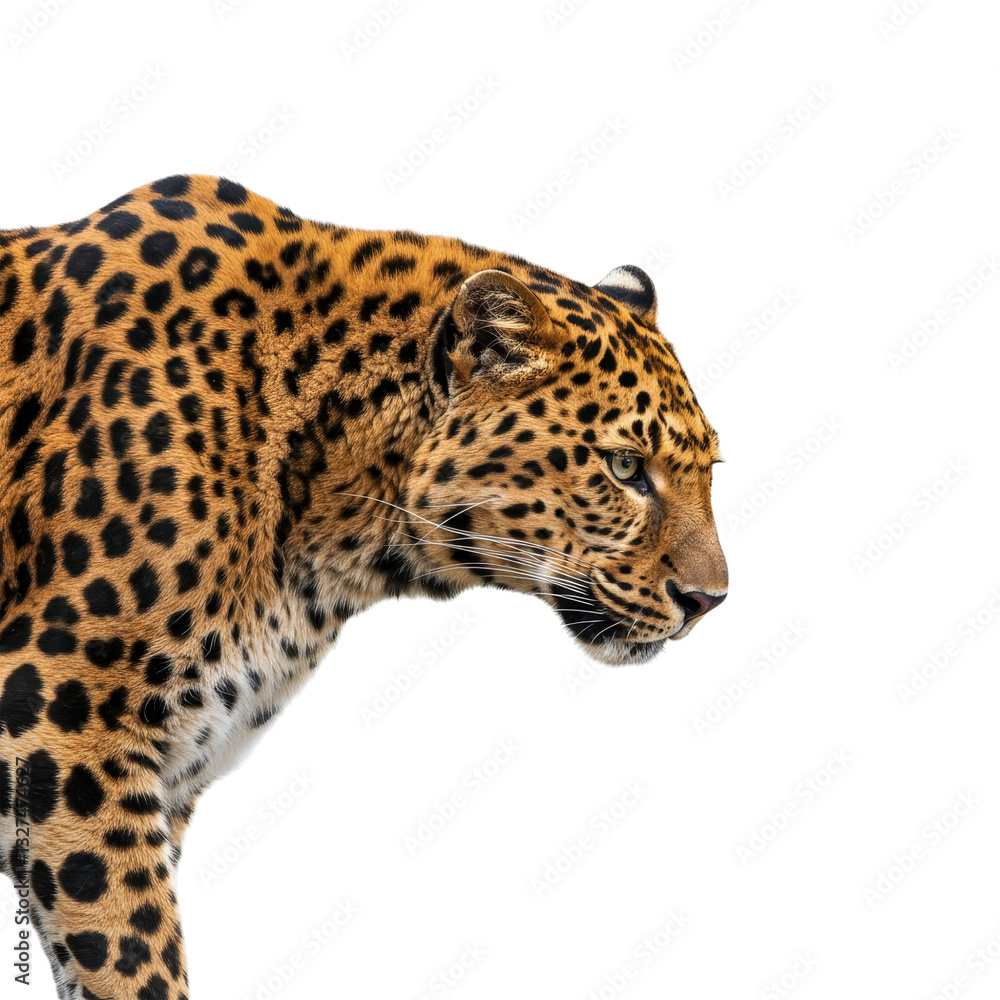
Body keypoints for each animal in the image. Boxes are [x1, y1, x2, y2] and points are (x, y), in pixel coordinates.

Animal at [0, 174, 727, 999]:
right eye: (626, 467)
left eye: (710, 470)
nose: (710, 601)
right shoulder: (66, 728)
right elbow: (129, 955)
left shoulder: (170, 774)